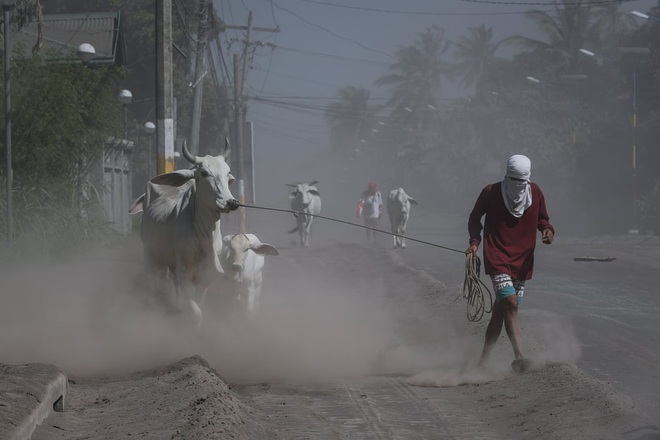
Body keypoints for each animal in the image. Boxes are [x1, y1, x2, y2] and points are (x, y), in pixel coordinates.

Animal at [127, 138, 238, 326]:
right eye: (204, 173)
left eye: (227, 174)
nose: (231, 202)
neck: (204, 233)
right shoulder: (184, 270)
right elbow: (196, 312)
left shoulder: (205, 274)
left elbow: (199, 303)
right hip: (152, 256)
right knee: (157, 281)